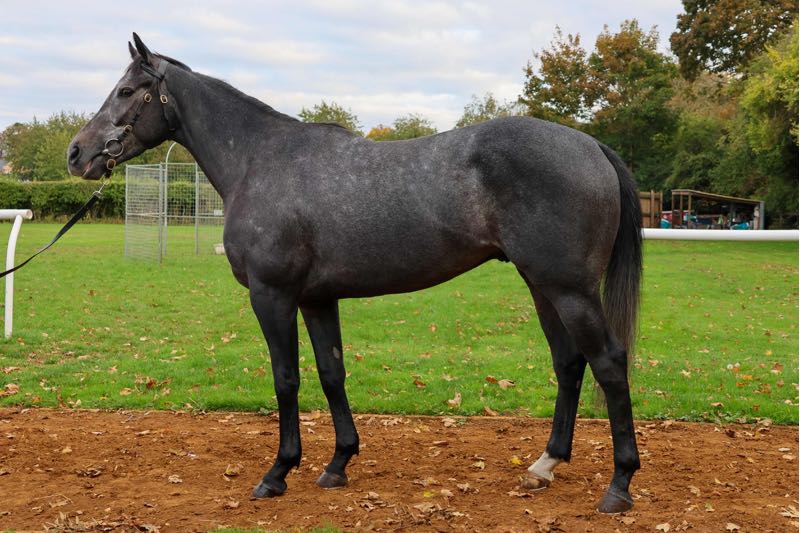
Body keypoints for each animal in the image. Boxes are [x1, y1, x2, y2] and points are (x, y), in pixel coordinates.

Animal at [67, 33, 643, 513]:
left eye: (126, 91)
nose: (77, 153)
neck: (259, 160)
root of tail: (590, 145)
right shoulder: (317, 299)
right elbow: (331, 373)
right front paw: (338, 463)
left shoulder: (272, 295)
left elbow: (286, 378)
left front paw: (278, 472)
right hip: (542, 285)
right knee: (569, 363)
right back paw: (546, 464)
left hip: (570, 289)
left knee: (609, 363)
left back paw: (619, 485)